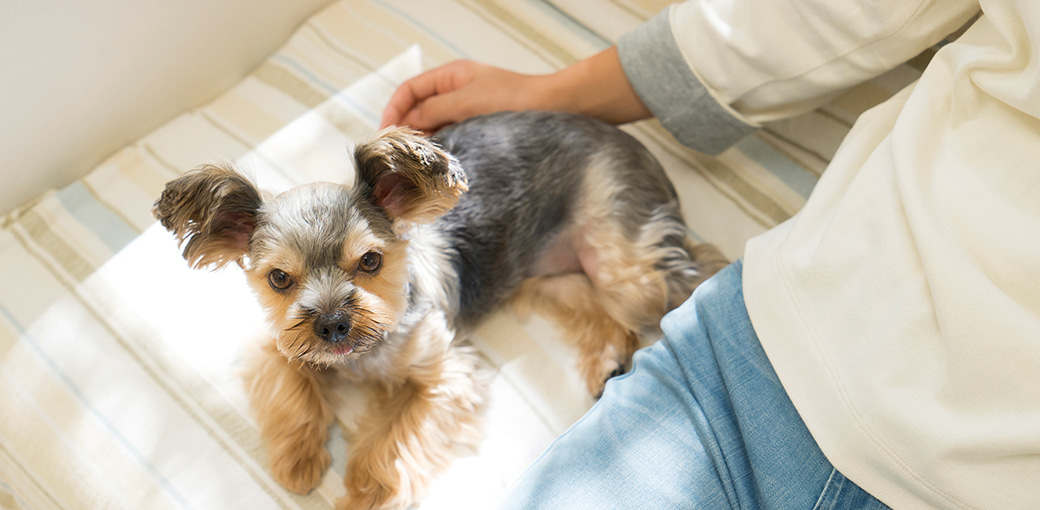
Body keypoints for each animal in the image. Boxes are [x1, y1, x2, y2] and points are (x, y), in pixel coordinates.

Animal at [151, 112, 723, 510]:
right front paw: (299, 459)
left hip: (626, 264)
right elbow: (292, 388)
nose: (333, 323)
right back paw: (608, 360)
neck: (360, 355)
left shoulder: (446, 373)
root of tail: (632, 141)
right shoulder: (281, 344)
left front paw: (365, 492)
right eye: (278, 279)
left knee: (687, 270)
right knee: (599, 305)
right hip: (547, 273)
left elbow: (395, 441)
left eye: (371, 260)